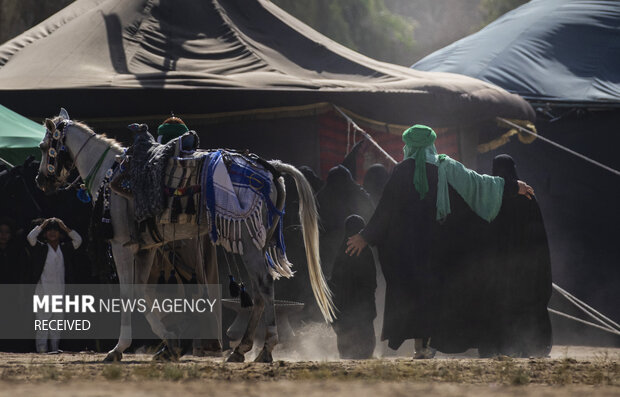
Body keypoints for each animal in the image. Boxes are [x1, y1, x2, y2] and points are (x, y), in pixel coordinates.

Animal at [35, 108, 334, 362]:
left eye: (43, 147)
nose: (41, 181)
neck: (112, 172)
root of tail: (270, 168)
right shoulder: (145, 248)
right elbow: (142, 293)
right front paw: (169, 344)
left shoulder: (122, 247)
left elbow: (128, 293)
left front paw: (118, 349)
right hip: (256, 244)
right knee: (262, 291)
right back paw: (246, 349)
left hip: (249, 244)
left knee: (263, 288)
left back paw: (259, 348)